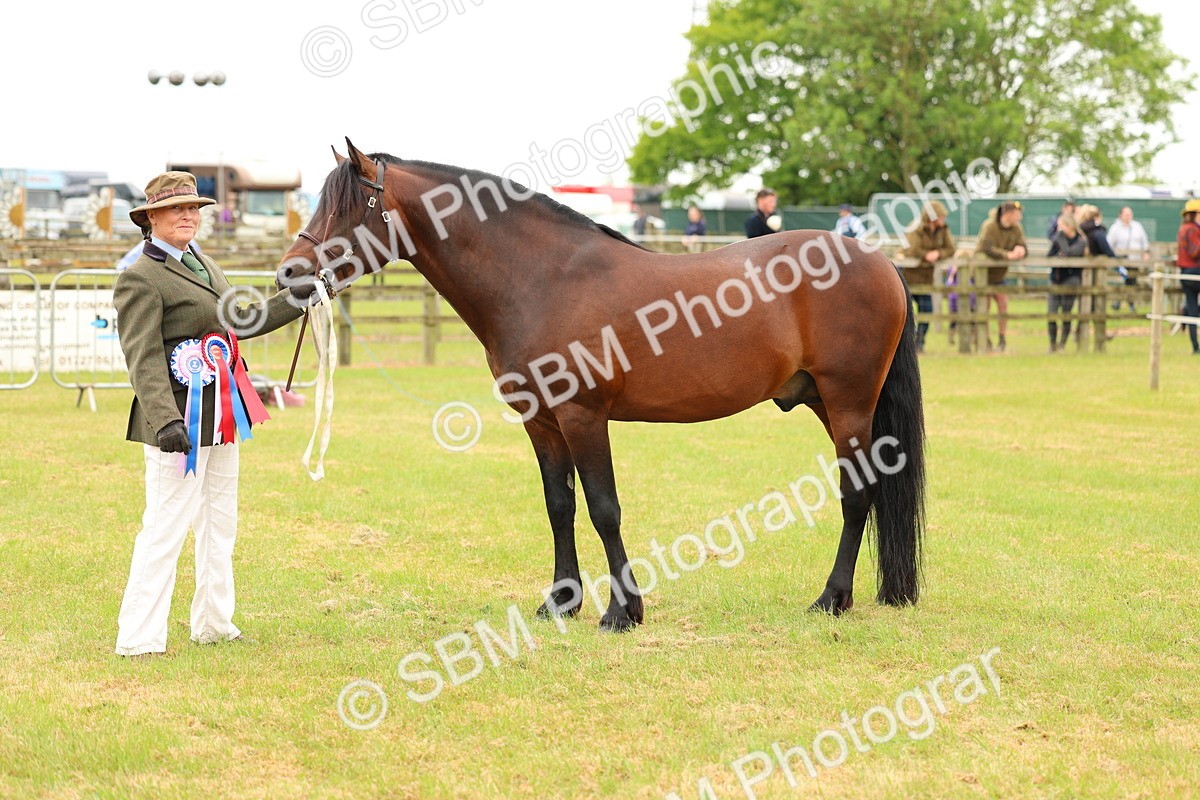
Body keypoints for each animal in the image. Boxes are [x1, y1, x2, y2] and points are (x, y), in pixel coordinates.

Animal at [276, 139, 925, 631]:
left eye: (351, 204)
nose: (289, 274)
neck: (541, 279)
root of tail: (879, 260)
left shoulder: (583, 416)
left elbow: (603, 508)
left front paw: (622, 611)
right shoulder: (540, 421)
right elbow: (559, 506)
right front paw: (560, 602)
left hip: (847, 402)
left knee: (857, 493)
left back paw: (831, 599)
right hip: (823, 401)